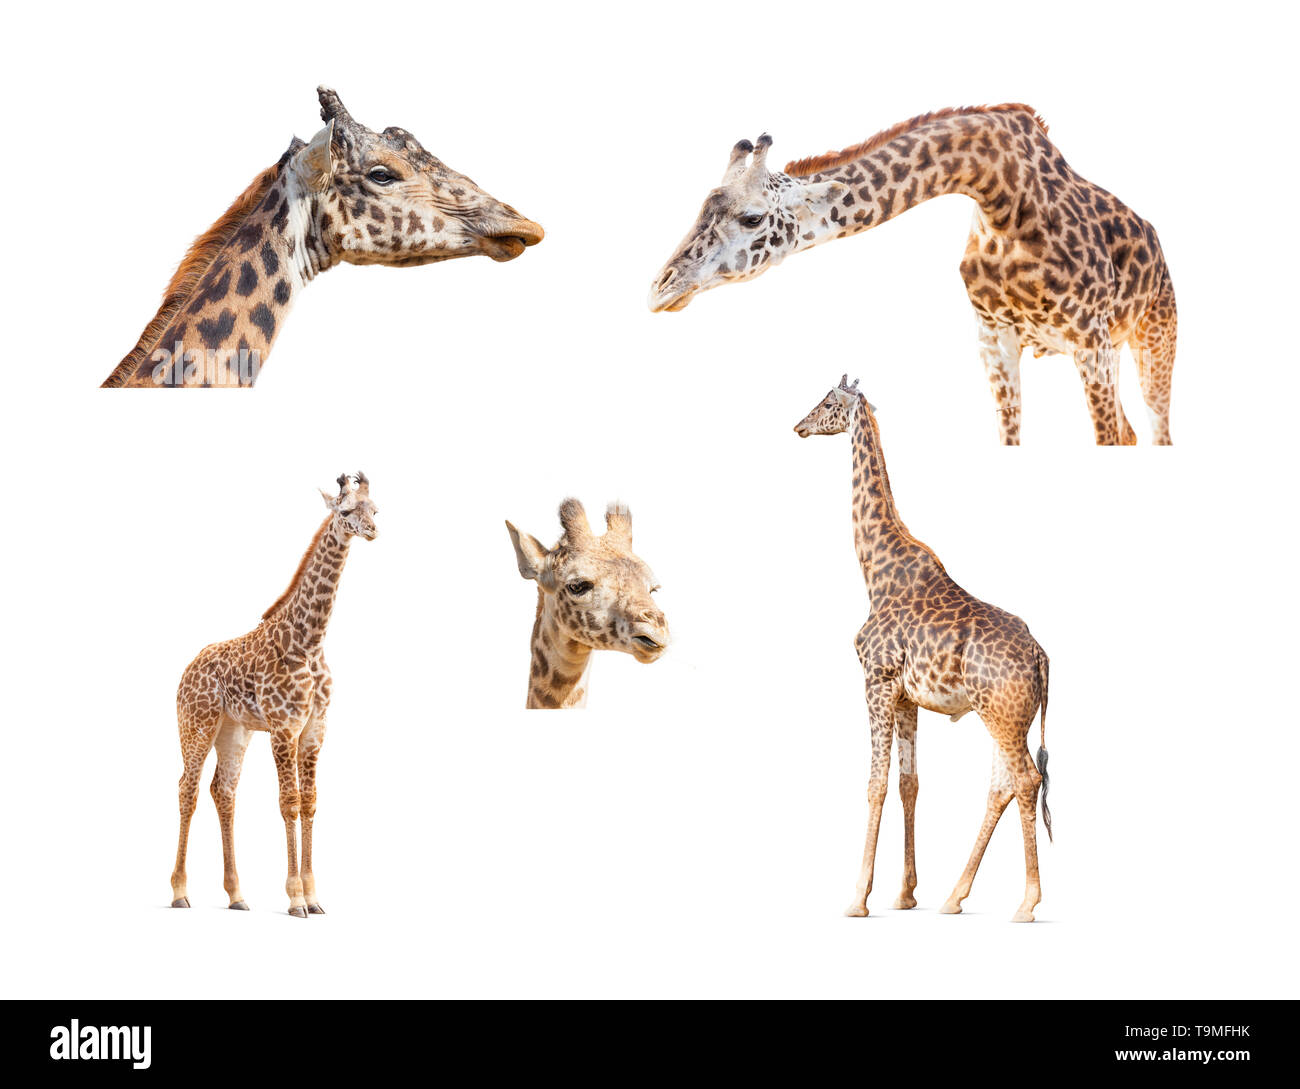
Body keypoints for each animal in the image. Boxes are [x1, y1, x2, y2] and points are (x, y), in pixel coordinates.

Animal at [169, 472, 377, 917]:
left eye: (376, 509)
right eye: (345, 510)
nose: (371, 530)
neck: (309, 641)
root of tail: (188, 668)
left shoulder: (315, 728)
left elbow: (310, 801)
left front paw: (314, 897)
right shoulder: (284, 727)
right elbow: (289, 802)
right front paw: (296, 898)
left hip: (234, 731)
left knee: (223, 791)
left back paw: (236, 895)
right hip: (196, 725)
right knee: (187, 788)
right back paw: (179, 892)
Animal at [650, 105, 1176, 445]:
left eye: (753, 218)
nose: (661, 288)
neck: (1005, 201)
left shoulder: (1090, 339)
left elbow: (1107, 438)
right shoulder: (995, 341)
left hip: (1150, 340)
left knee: (1153, 427)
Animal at [794, 376, 1053, 921]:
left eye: (827, 403)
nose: (798, 426)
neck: (874, 569)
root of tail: (1042, 657)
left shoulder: (875, 681)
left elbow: (875, 784)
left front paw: (858, 898)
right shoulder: (908, 697)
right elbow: (908, 784)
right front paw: (906, 893)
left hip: (1000, 714)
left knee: (1025, 781)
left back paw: (1027, 902)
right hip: (1006, 716)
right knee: (1001, 785)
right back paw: (954, 897)